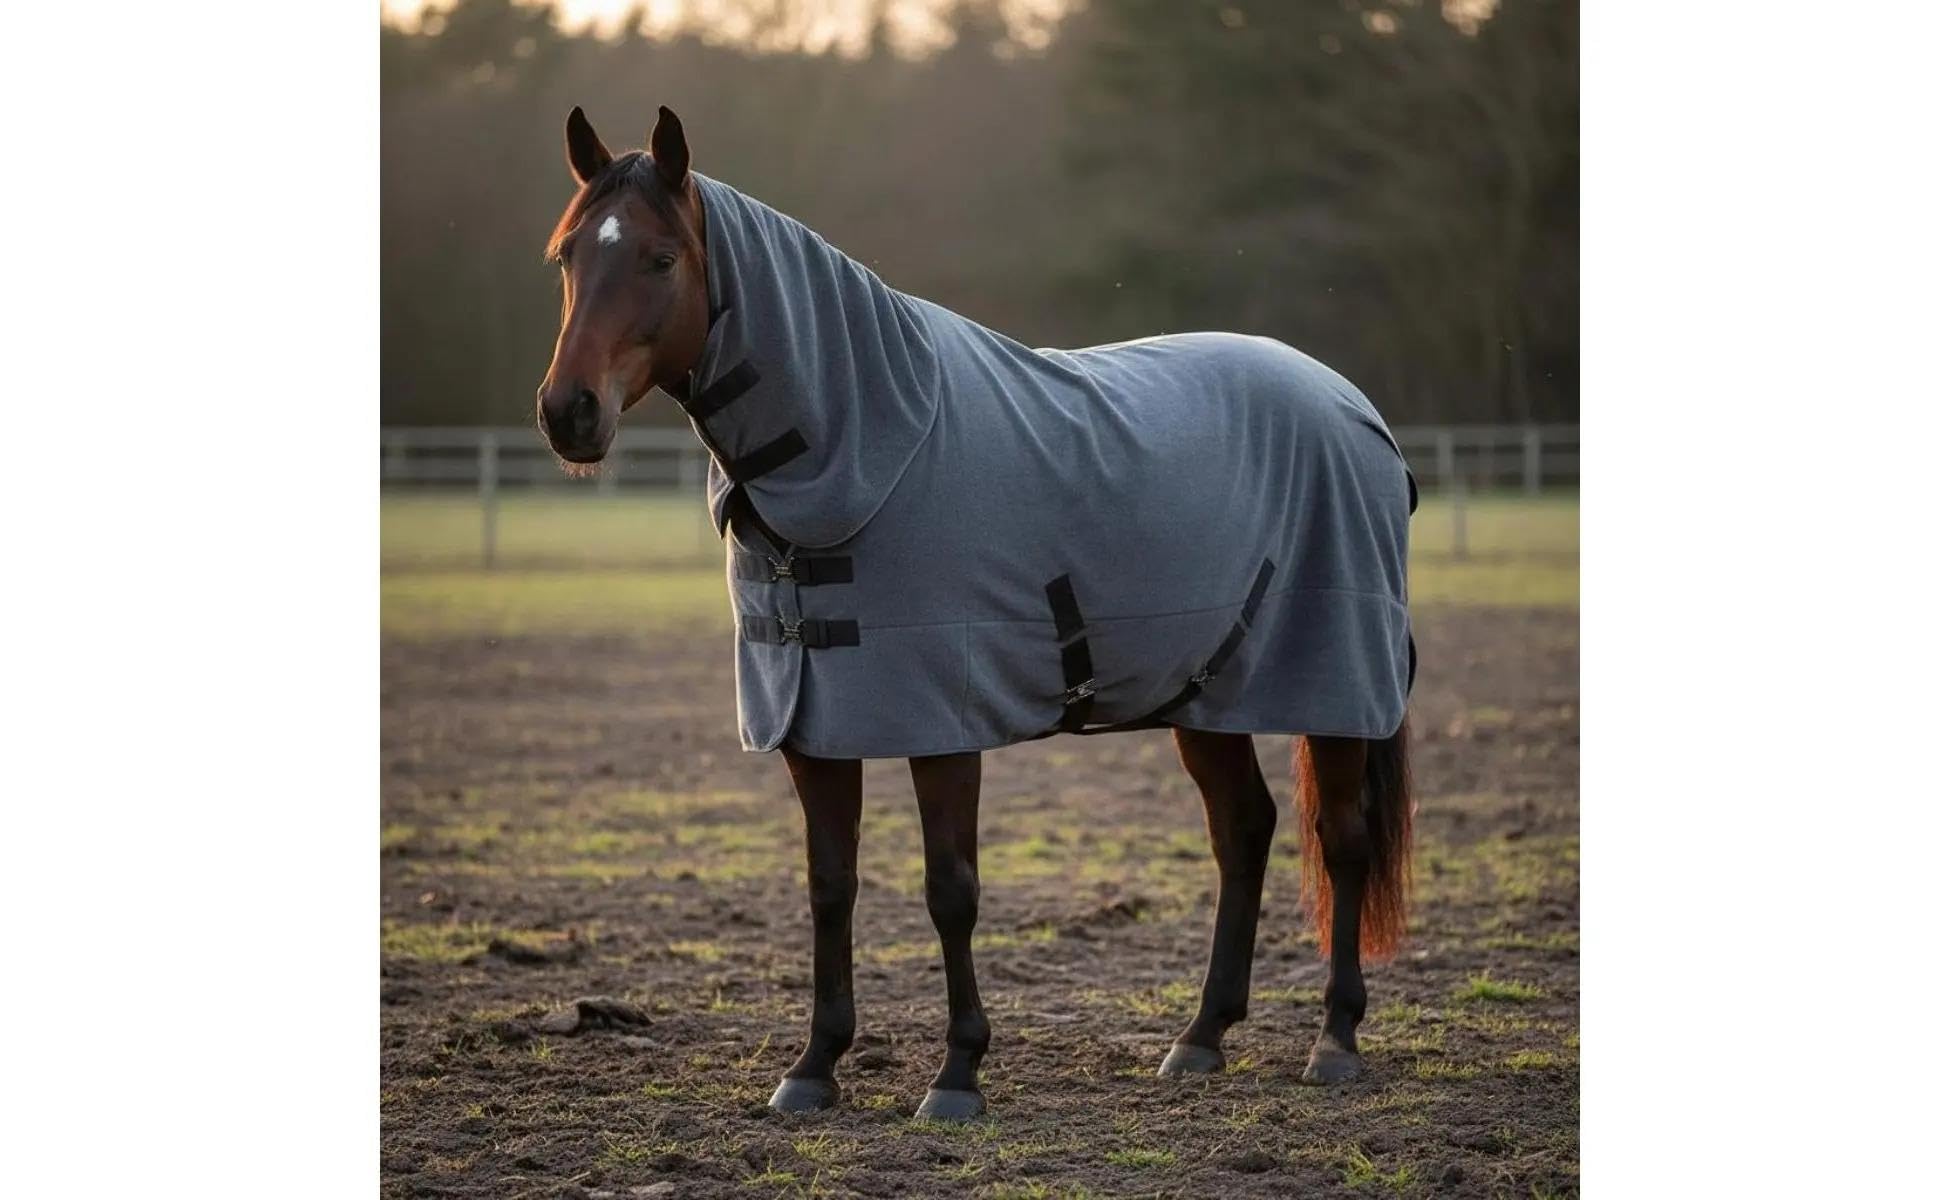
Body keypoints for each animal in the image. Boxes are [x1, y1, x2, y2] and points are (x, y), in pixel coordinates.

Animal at [535, 105, 1415, 1121]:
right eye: (567, 255)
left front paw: (957, 1075)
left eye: (660, 258)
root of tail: (1353, 406)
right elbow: (830, 887)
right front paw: (814, 1066)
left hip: (1336, 686)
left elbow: (950, 890)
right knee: (1244, 832)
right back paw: (1200, 1037)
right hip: (1205, 693)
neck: (863, 443)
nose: (568, 412)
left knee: (1342, 841)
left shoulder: (944, 725)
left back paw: (1335, 1038)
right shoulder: (812, 726)